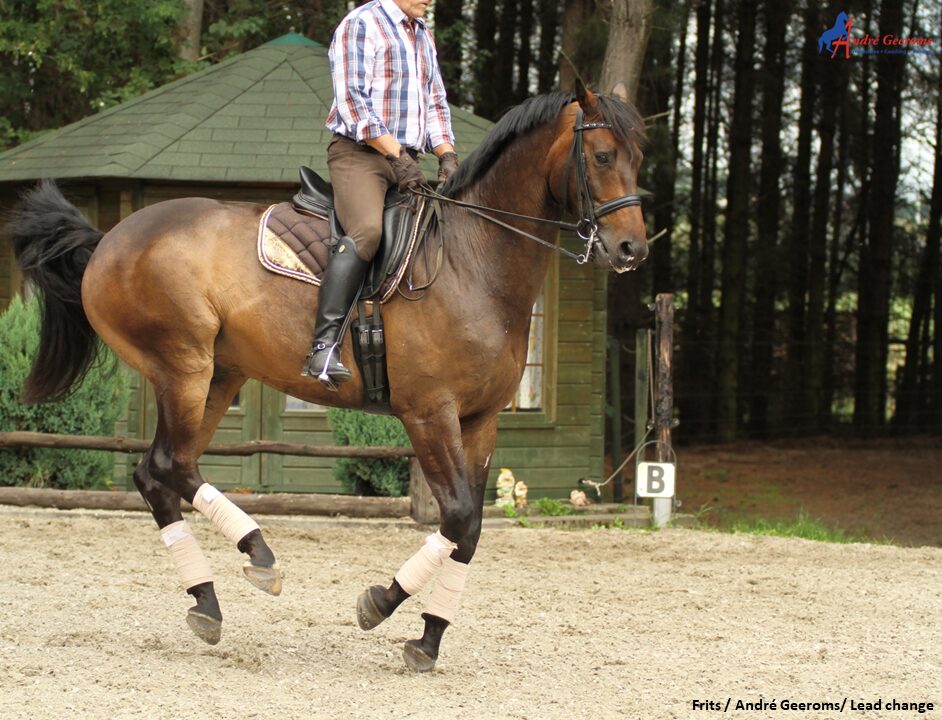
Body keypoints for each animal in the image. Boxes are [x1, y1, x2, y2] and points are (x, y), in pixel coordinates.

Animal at [9, 81, 648, 672]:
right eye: (602, 156)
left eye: (639, 155)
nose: (631, 249)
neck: (473, 263)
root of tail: (108, 241)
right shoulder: (429, 413)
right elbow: (460, 515)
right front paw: (382, 605)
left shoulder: (480, 421)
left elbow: (468, 532)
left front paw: (428, 638)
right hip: (183, 365)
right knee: (170, 466)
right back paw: (258, 555)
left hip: (219, 376)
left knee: (158, 472)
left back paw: (208, 603)